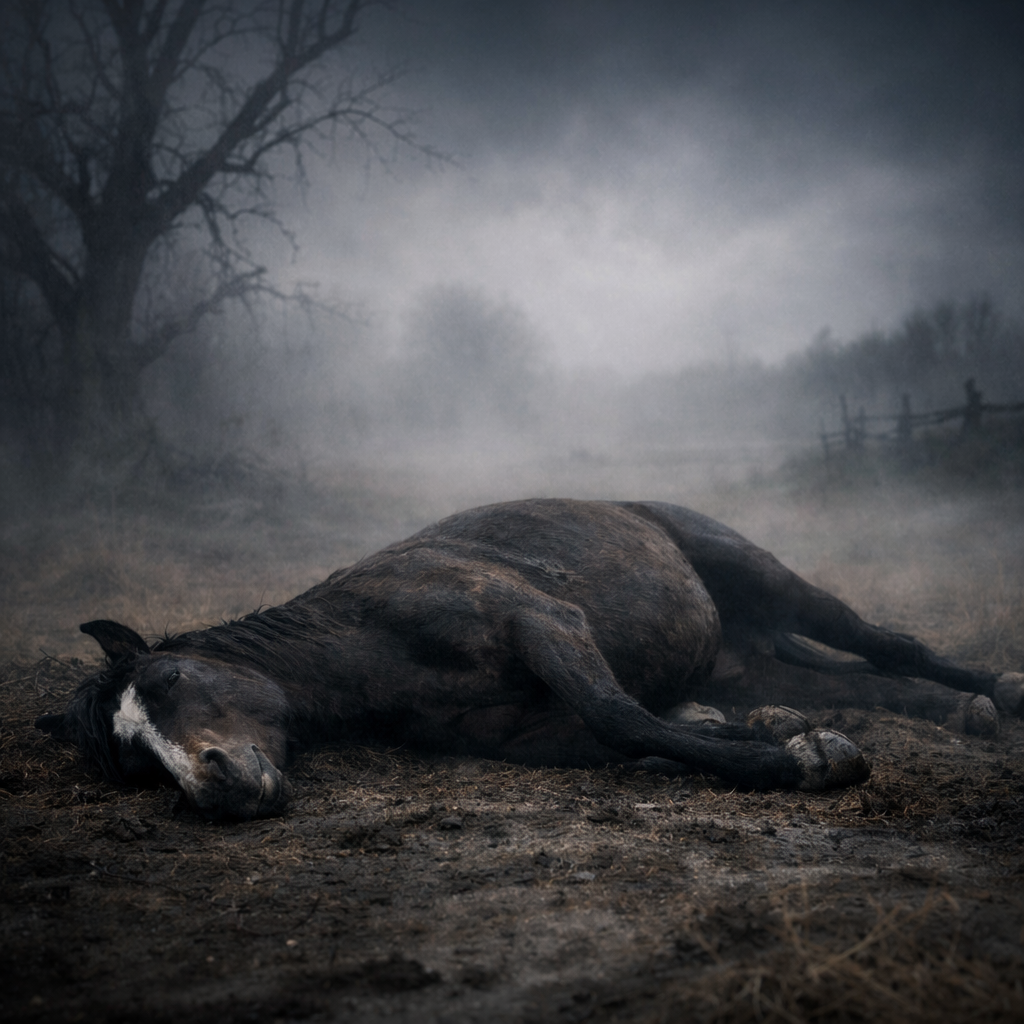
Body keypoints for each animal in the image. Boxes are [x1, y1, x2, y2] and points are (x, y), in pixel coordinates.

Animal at [36, 499, 1024, 820]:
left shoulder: (542, 622)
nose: (212, 786)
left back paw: (998, 690)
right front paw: (765, 742)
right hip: (753, 658)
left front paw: (803, 761)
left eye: (168, 680)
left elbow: (616, 714)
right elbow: (627, 735)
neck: (369, 640)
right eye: (131, 759)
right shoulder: (514, 730)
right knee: (859, 680)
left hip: (766, 576)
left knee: (888, 645)